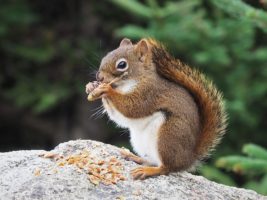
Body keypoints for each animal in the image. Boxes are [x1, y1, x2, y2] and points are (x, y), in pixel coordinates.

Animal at [86, 38, 228, 180]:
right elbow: (117, 116)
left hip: (168, 135)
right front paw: (91, 86)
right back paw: (133, 157)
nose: (99, 77)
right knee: (151, 161)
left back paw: (148, 171)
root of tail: (188, 159)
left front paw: (106, 89)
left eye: (122, 64)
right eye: (105, 57)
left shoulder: (148, 94)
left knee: (166, 167)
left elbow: (132, 108)